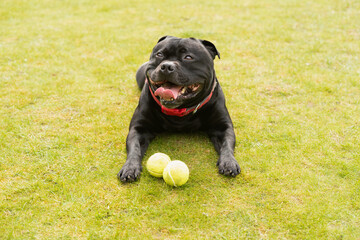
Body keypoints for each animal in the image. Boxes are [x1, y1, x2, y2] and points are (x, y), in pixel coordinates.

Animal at [118, 36, 240, 182]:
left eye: (188, 57)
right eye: (159, 54)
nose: (166, 66)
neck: (180, 110)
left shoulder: (222, 127)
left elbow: (227, 145)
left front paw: (228, 162)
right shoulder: (139, 129)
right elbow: (134, 147)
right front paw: (130, 167)